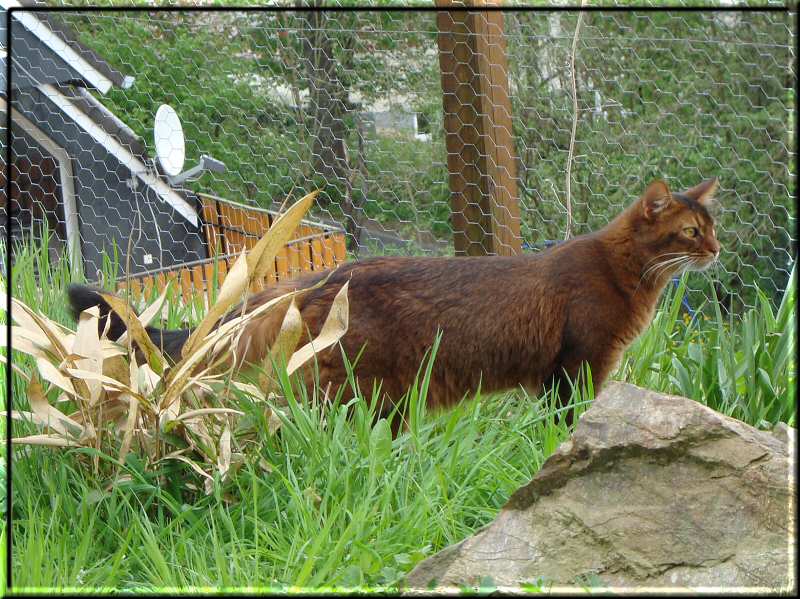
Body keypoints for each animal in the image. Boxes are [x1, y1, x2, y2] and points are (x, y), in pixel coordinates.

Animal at [67, 177, 720, 422]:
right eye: (691, 232)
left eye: (712, 227)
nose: (716, 249)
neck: (624, 273)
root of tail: (324, 276)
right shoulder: (578, 365)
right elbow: (568, 420)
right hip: (364, 389)